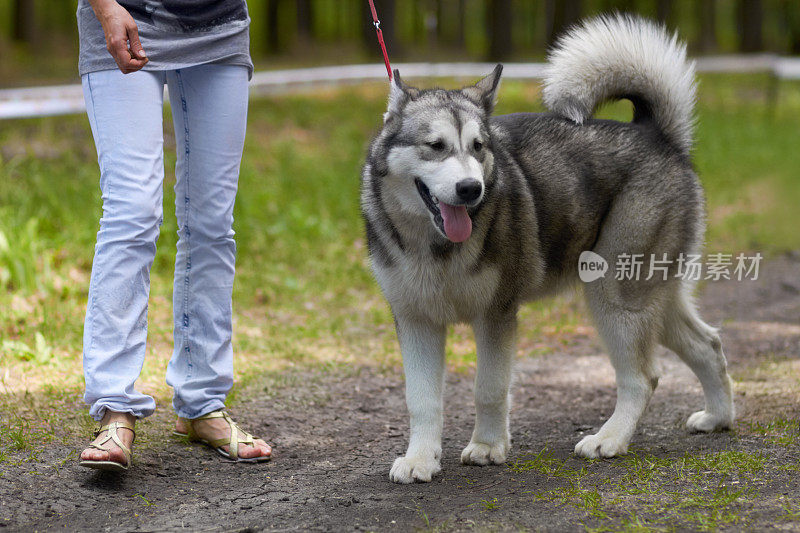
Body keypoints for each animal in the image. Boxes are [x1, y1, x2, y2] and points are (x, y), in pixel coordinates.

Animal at [360, 15, 736, 482]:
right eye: (435, 146)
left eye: (479, 147)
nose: (471, 189)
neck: (435, 246)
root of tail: (655, 134)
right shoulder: (415, 320)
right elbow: (422, 400)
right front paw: (420, 459)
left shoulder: (496, 315)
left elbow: (489, 388)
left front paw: (488, 446)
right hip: (651, 299)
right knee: (708, 345)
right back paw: (718, 417)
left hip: (615, 296)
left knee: (644, 376)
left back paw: (610, 439)